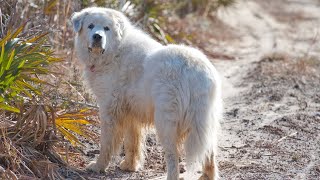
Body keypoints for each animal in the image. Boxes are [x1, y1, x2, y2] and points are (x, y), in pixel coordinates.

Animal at [72, 7, 222, 180]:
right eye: (90, 26)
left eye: (106, 28)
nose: (97, 36)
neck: (114, 51)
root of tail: (195, 68)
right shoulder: (130, 111)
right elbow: (132, 142)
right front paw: (129, 166)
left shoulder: (109, 108)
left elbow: (107, 143)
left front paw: (98, 166)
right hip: (205, 120)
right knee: (209, 152)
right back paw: (207, 176)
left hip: (166, 120)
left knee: (173, 155)